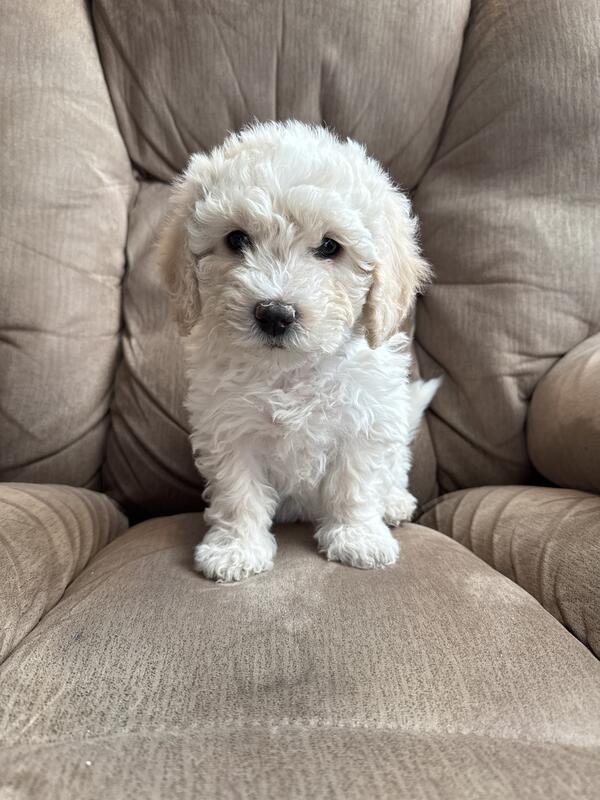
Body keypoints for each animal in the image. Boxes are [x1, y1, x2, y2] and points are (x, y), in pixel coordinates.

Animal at [159, 120, 439, 582]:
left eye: (330, 247)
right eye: (236, 239)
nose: (275, 313)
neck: (289, 370)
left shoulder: (364, 419)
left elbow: (355, 485)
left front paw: (357, 538)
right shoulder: (229, 429)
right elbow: (238, 493)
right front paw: (236, 549)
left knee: (394, 468)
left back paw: (394, 503)